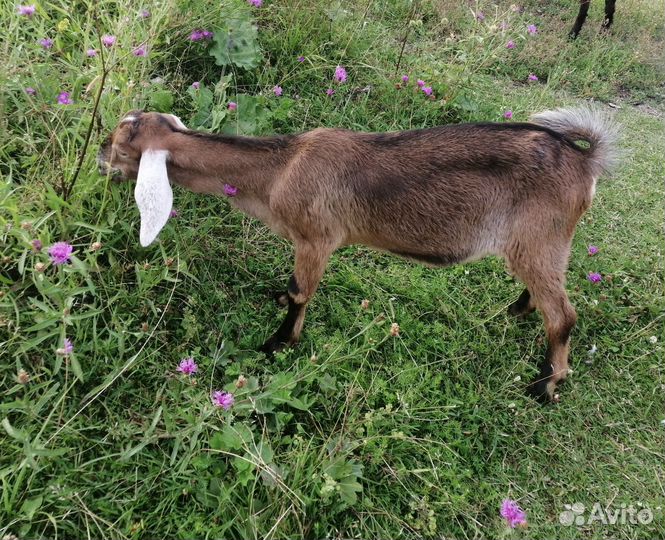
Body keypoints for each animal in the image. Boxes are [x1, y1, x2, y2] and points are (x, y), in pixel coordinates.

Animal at [98, 107, 619, 401]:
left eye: (119, 145)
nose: (100, 161)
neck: (278, 170)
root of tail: (584, 161)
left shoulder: (316, 238)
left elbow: (300, 291)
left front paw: (277, 344)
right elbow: (291, 291)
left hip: (541, 237)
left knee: (564, 315)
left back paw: (545, 385)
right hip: (535, 246)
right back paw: (514, 312)